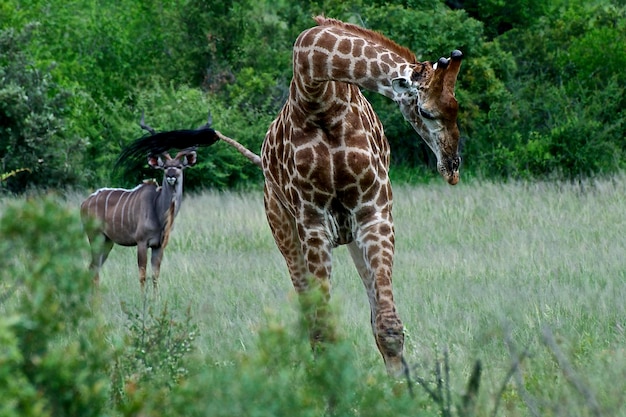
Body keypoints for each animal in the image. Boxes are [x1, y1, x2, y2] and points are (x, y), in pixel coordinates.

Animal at [81, 117, 213, 288]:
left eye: (179, 166)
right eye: (165, 167)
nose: (171, 176)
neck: (158, 211)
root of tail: (84, 203)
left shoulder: (159, 245)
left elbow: (155, 275)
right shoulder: (142, 242)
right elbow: (142, 275)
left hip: (107, 241)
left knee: (93, 268)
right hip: (95, 236)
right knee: (94, 268)